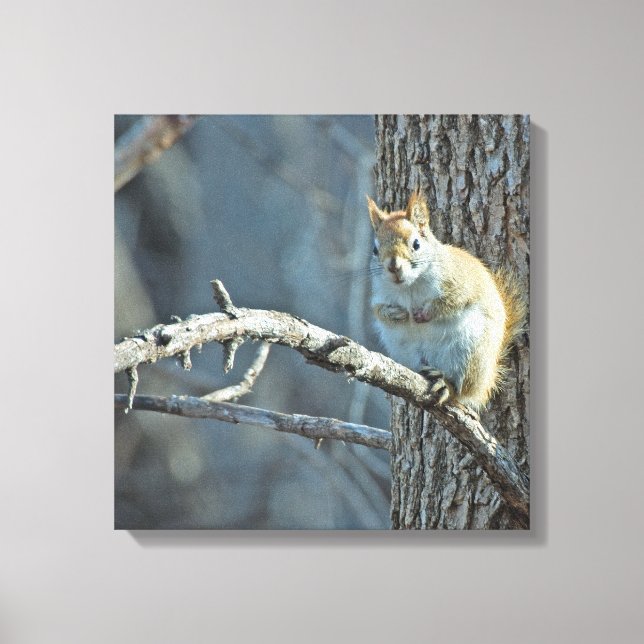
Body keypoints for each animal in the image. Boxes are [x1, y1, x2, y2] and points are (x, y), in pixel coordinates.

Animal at [367, 190, 525, 411]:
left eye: (416, 244)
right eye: (375, 250)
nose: (393, 266)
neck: (409, 287)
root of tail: (486, 382)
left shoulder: (459, 283)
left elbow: (452, 302)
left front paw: (424, 313)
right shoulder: (379, 294)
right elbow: (378, 311)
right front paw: (396, 313)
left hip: (469, 353)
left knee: (461, 392)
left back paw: (446, 385)